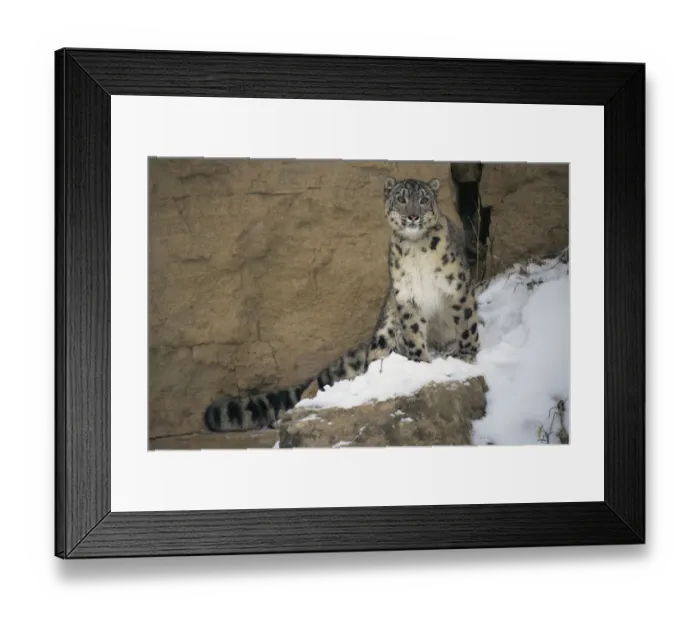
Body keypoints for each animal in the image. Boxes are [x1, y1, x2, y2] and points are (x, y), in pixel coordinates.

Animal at [203, 175, 481, 433]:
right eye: (402, 198)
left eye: (423, 199)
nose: (413, 216)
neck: (417, 250)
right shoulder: (406, 298)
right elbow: (414, 335)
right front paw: (420, 364)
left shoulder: (458, 287)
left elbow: (466, 323)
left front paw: (466, 355)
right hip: (383, 332)